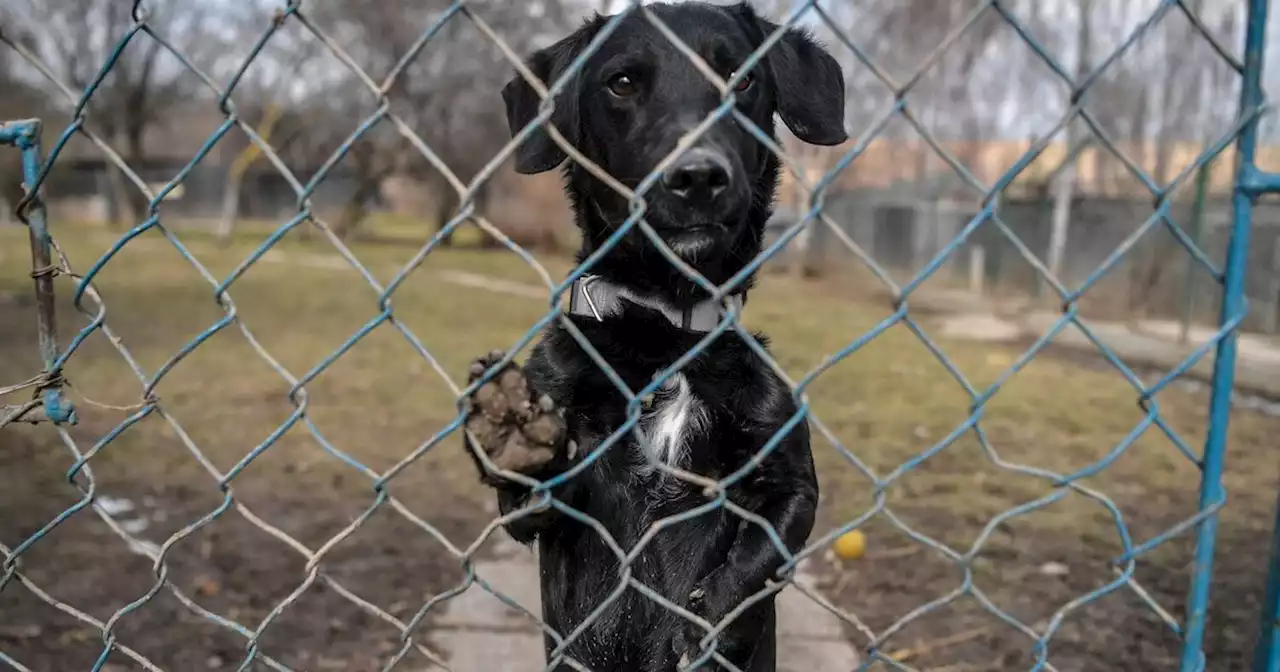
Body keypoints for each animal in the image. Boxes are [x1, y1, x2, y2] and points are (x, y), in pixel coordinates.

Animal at [463, 2, 849, 665]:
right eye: (621, 83)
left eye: (742, 77)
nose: (698, 177)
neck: (666, 331)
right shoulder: (546, 504)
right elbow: (530, 496)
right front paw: (513, 429)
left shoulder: (789, 480)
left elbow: (762, 555)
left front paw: (708, 622)